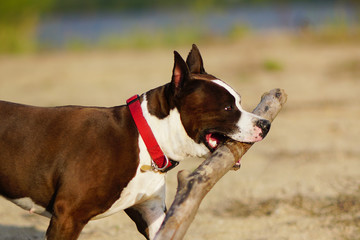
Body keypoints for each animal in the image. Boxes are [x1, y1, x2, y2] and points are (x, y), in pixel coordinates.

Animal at [0, 44, 270, 239]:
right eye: (227, 107)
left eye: (239, 101)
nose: (265, 124)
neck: (146, 136)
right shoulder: (67, 218)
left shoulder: (154, 216)